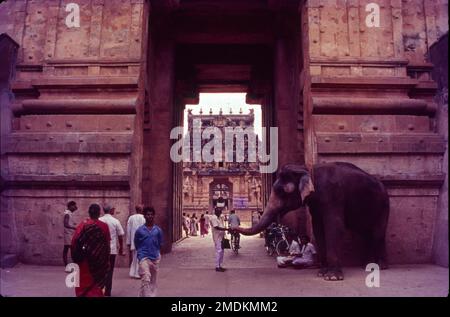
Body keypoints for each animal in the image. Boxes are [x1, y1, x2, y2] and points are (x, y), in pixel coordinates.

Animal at [237, 162, 388, 280]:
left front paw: (332, 277)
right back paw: (367, 265)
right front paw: (321, 273)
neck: (308, 169)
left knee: (378, 233)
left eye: (281, 192)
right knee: (367, 234)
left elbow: (334, 226)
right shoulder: (316, 203)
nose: (233, 227)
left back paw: (379, 266)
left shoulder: (333, 196)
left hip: (384, 203)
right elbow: (317, 227)